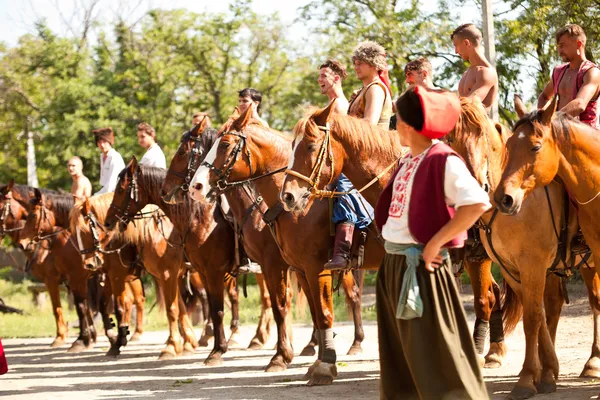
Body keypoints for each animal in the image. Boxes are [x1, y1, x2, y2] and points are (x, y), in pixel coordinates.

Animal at [68, 192, 199, 358]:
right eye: (74, 233)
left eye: (85, 231)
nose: (89, 264)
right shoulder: (111, 276)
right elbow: (105, 306)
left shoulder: (121, 275)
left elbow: (120, 307)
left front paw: (120, 339)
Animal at [188, 105, 378, 384]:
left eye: (224, 144)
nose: (196, 187)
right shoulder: (298, 269)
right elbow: (312, 312)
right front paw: (313, 359)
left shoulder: (298, 266)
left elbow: (301, 309)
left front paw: (286, 359)